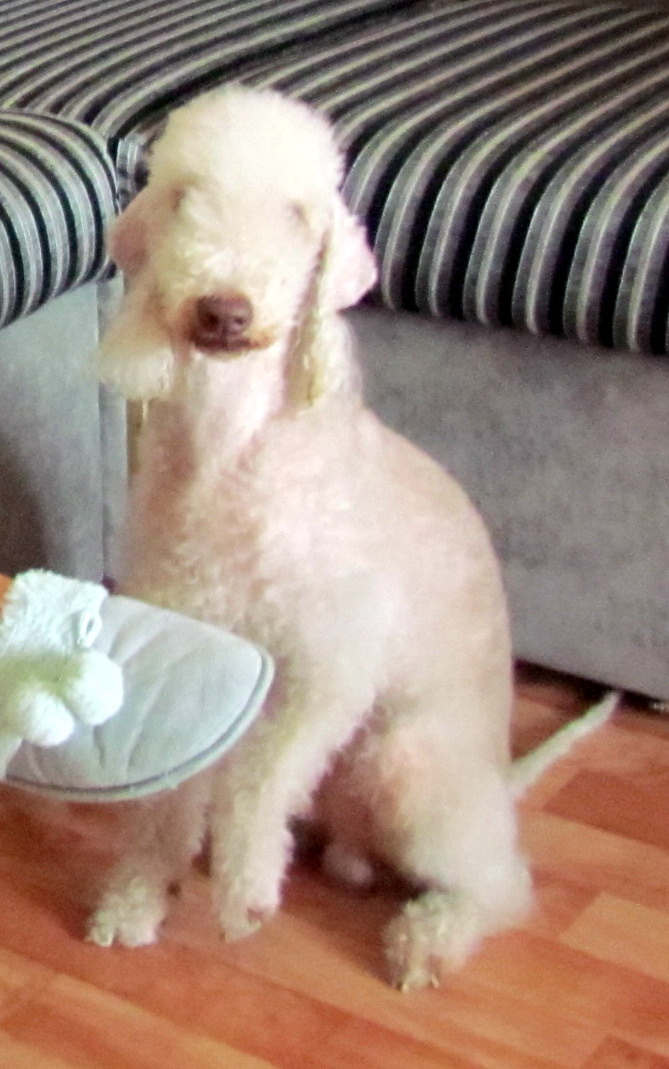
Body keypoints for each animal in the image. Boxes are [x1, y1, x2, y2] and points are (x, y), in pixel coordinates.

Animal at [89, 85, 616, 989]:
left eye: (300, 215)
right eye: (183, 199)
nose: (223, 310)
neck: (231, 454)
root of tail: (495, 784)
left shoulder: (330, 663)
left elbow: (260, 779)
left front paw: (244, 890)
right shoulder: (193, 637)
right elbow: (171, 798)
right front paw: (137, 892)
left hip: (404, 762)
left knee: (502, 883)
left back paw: (430, 935)